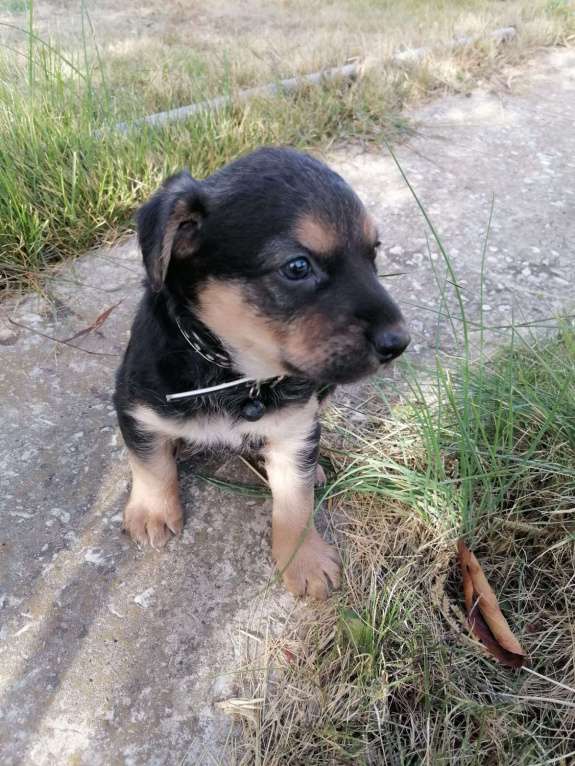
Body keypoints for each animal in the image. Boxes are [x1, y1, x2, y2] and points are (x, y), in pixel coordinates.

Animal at [113, 147, 410, 604]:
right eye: (298, 266)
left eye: (373, 253)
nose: (399, 342)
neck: (234, 373)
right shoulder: (136, 405)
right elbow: (149, 462)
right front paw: (152, 512)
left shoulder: (295, 429)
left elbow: (295, 503)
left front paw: (305, 562)